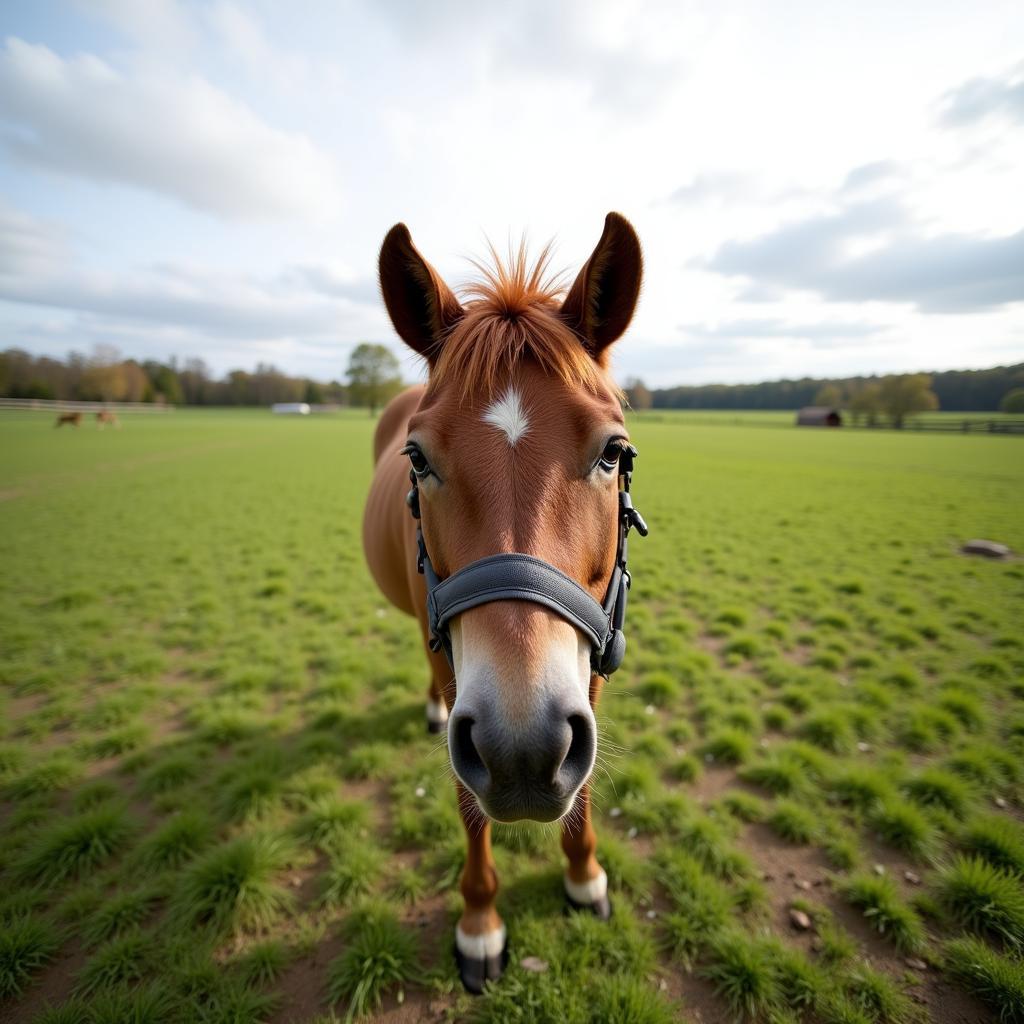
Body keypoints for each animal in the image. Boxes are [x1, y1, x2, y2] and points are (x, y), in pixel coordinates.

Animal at [364, 211, 643, 987]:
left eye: (614, 453)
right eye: (418, 458)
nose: (522, 751)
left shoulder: (590, 665)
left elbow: (582, 790)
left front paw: (583, 877)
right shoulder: (466, 690)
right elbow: (468, 804)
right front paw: (480, 923)